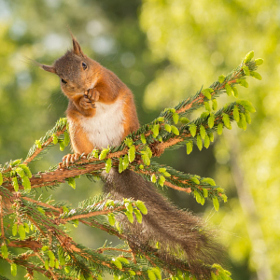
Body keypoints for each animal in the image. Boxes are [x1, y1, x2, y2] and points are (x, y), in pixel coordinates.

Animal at [40, 35, 223, 278]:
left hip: (128, 123)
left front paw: (95, 94)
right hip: (77, 133)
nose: (82, 88)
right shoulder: (73, 107)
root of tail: (110, 151)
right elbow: (78, 106)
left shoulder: (111, 80)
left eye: (84, 65)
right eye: (63, 80)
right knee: (83, 149)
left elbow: (107, 91)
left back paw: (144, 146)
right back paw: (74, 158)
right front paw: (84, 102)